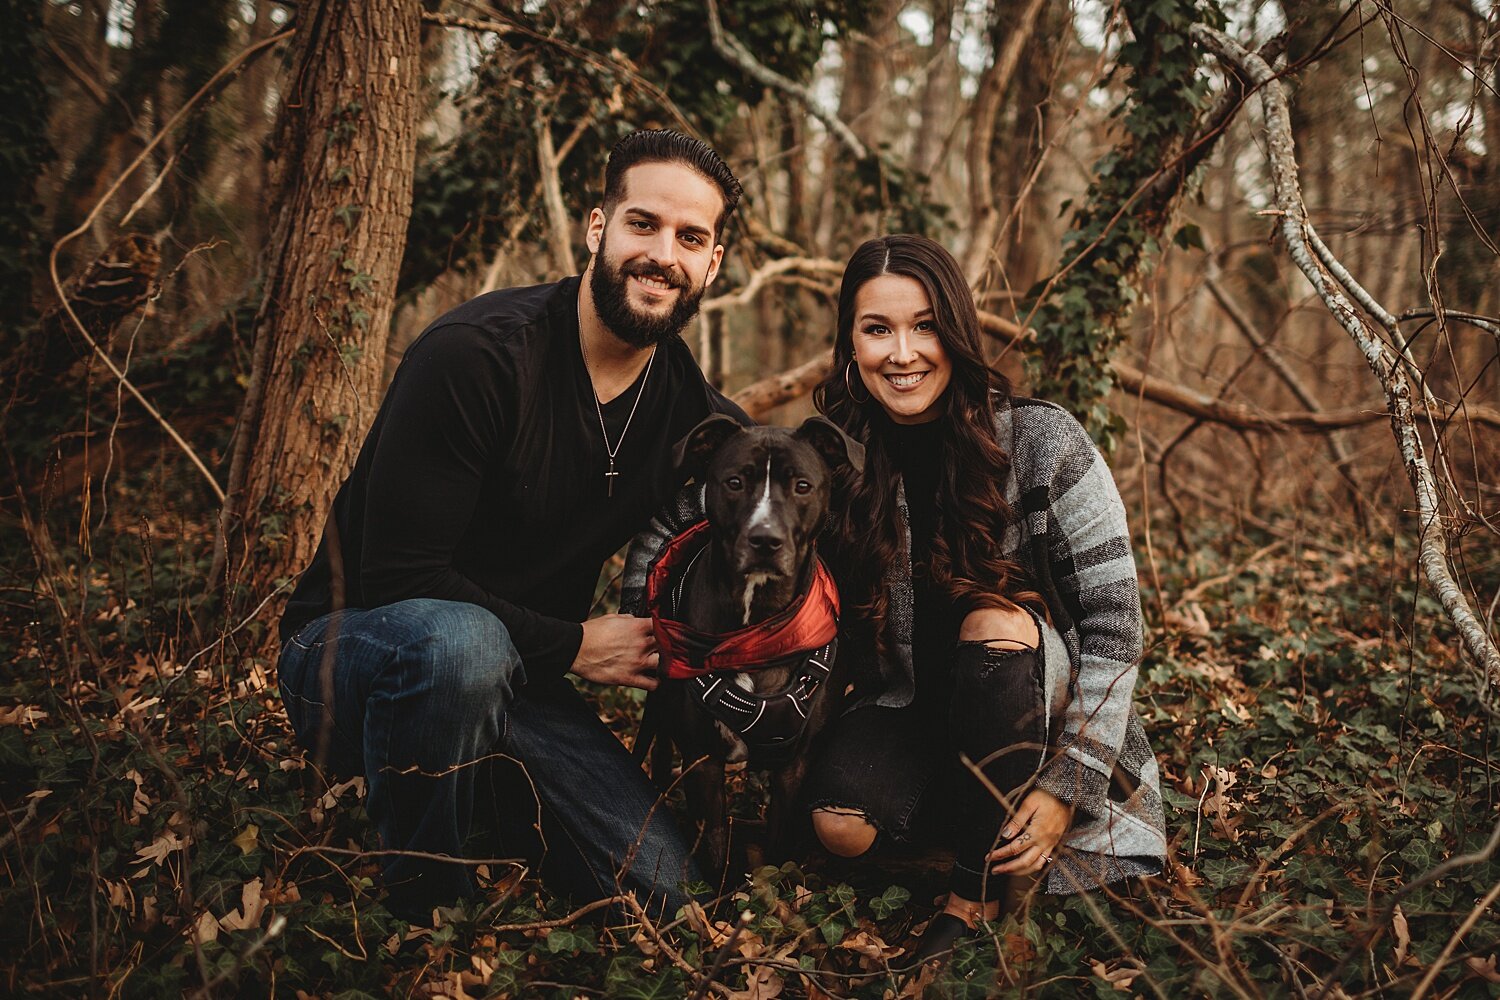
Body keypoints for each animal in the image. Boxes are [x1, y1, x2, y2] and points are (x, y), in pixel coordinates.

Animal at [636, 410, 870, 881]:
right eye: (734, 482)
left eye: (802, 485)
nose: (765, 540)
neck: (756, 630)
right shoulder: (703, 760)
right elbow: (713, 846)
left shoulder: (796, 766)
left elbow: (778, 847)